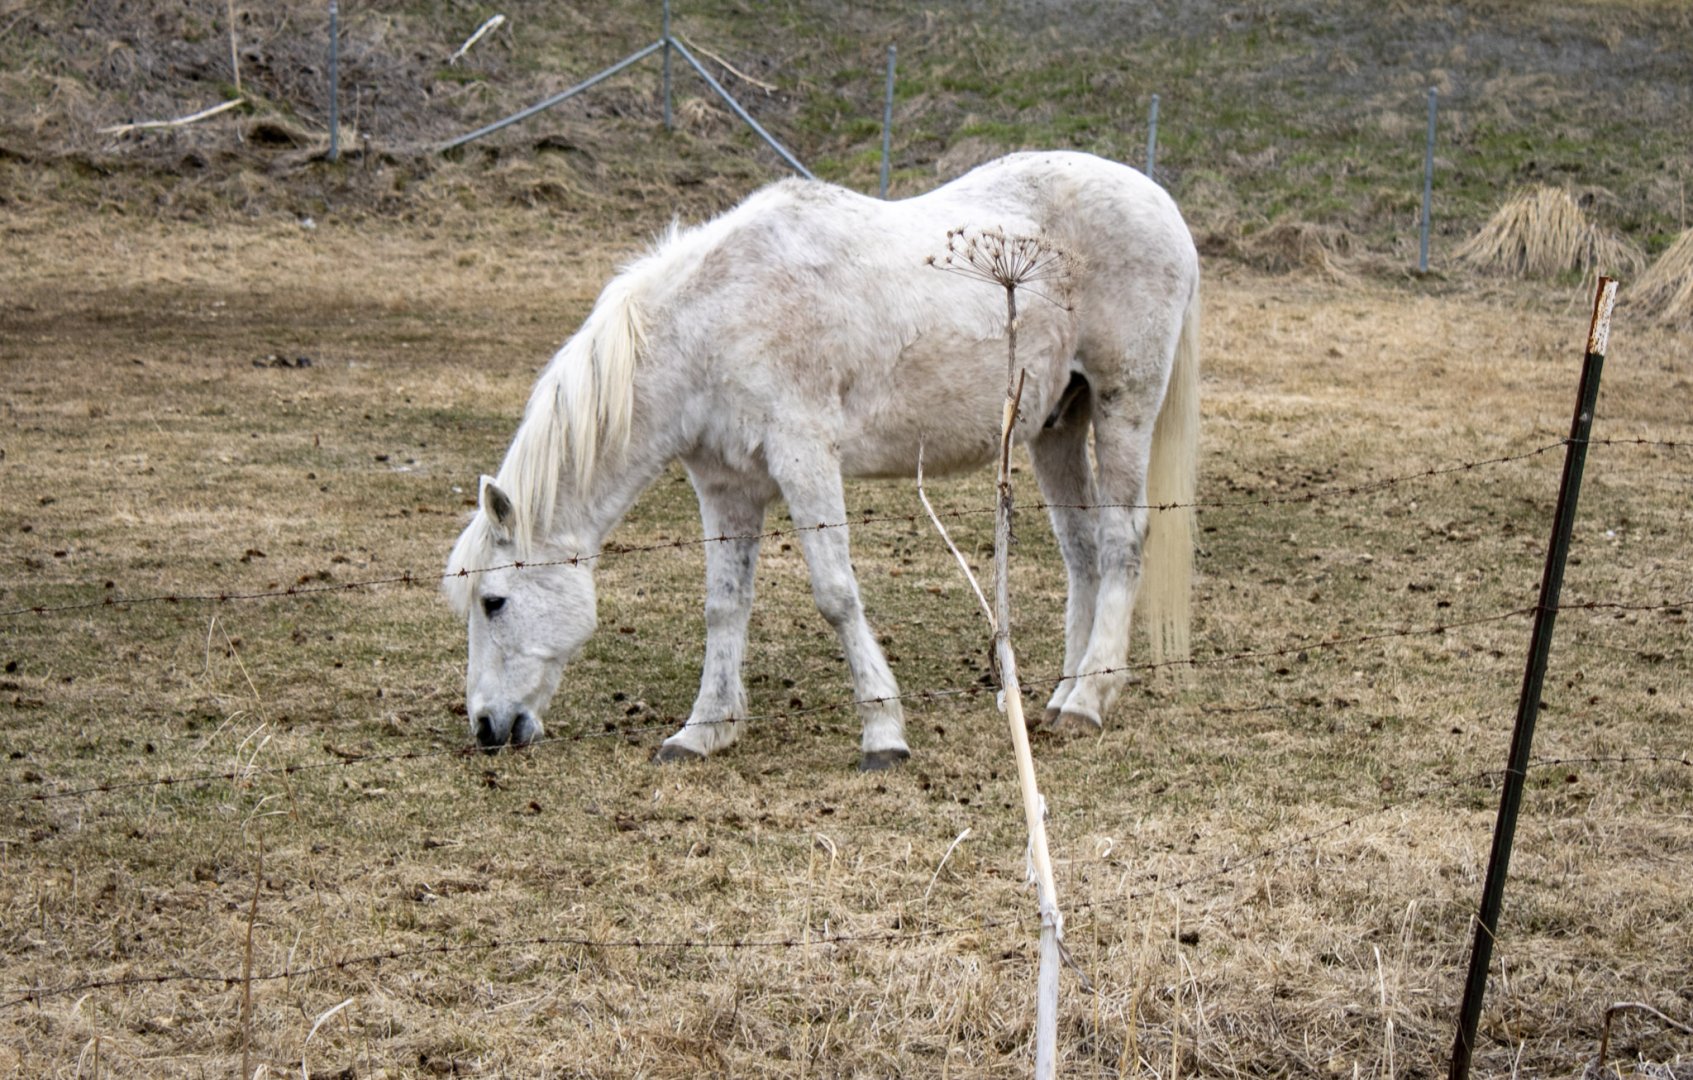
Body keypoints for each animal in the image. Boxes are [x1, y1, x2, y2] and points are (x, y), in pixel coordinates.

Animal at [444, 150, 1199, 771]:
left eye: (494, 601)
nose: (486, 728)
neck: (712, 322)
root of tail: (1161, 204)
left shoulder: (804, 455)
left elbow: (835, 594)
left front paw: (884, 735)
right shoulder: (726, 487)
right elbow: (724, 606)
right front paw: (702, 732)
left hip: (1122, 406)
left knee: (1121, 541)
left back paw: (1089, 702)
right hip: (1055, 427)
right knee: (1082, 554)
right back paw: (1057, 698)